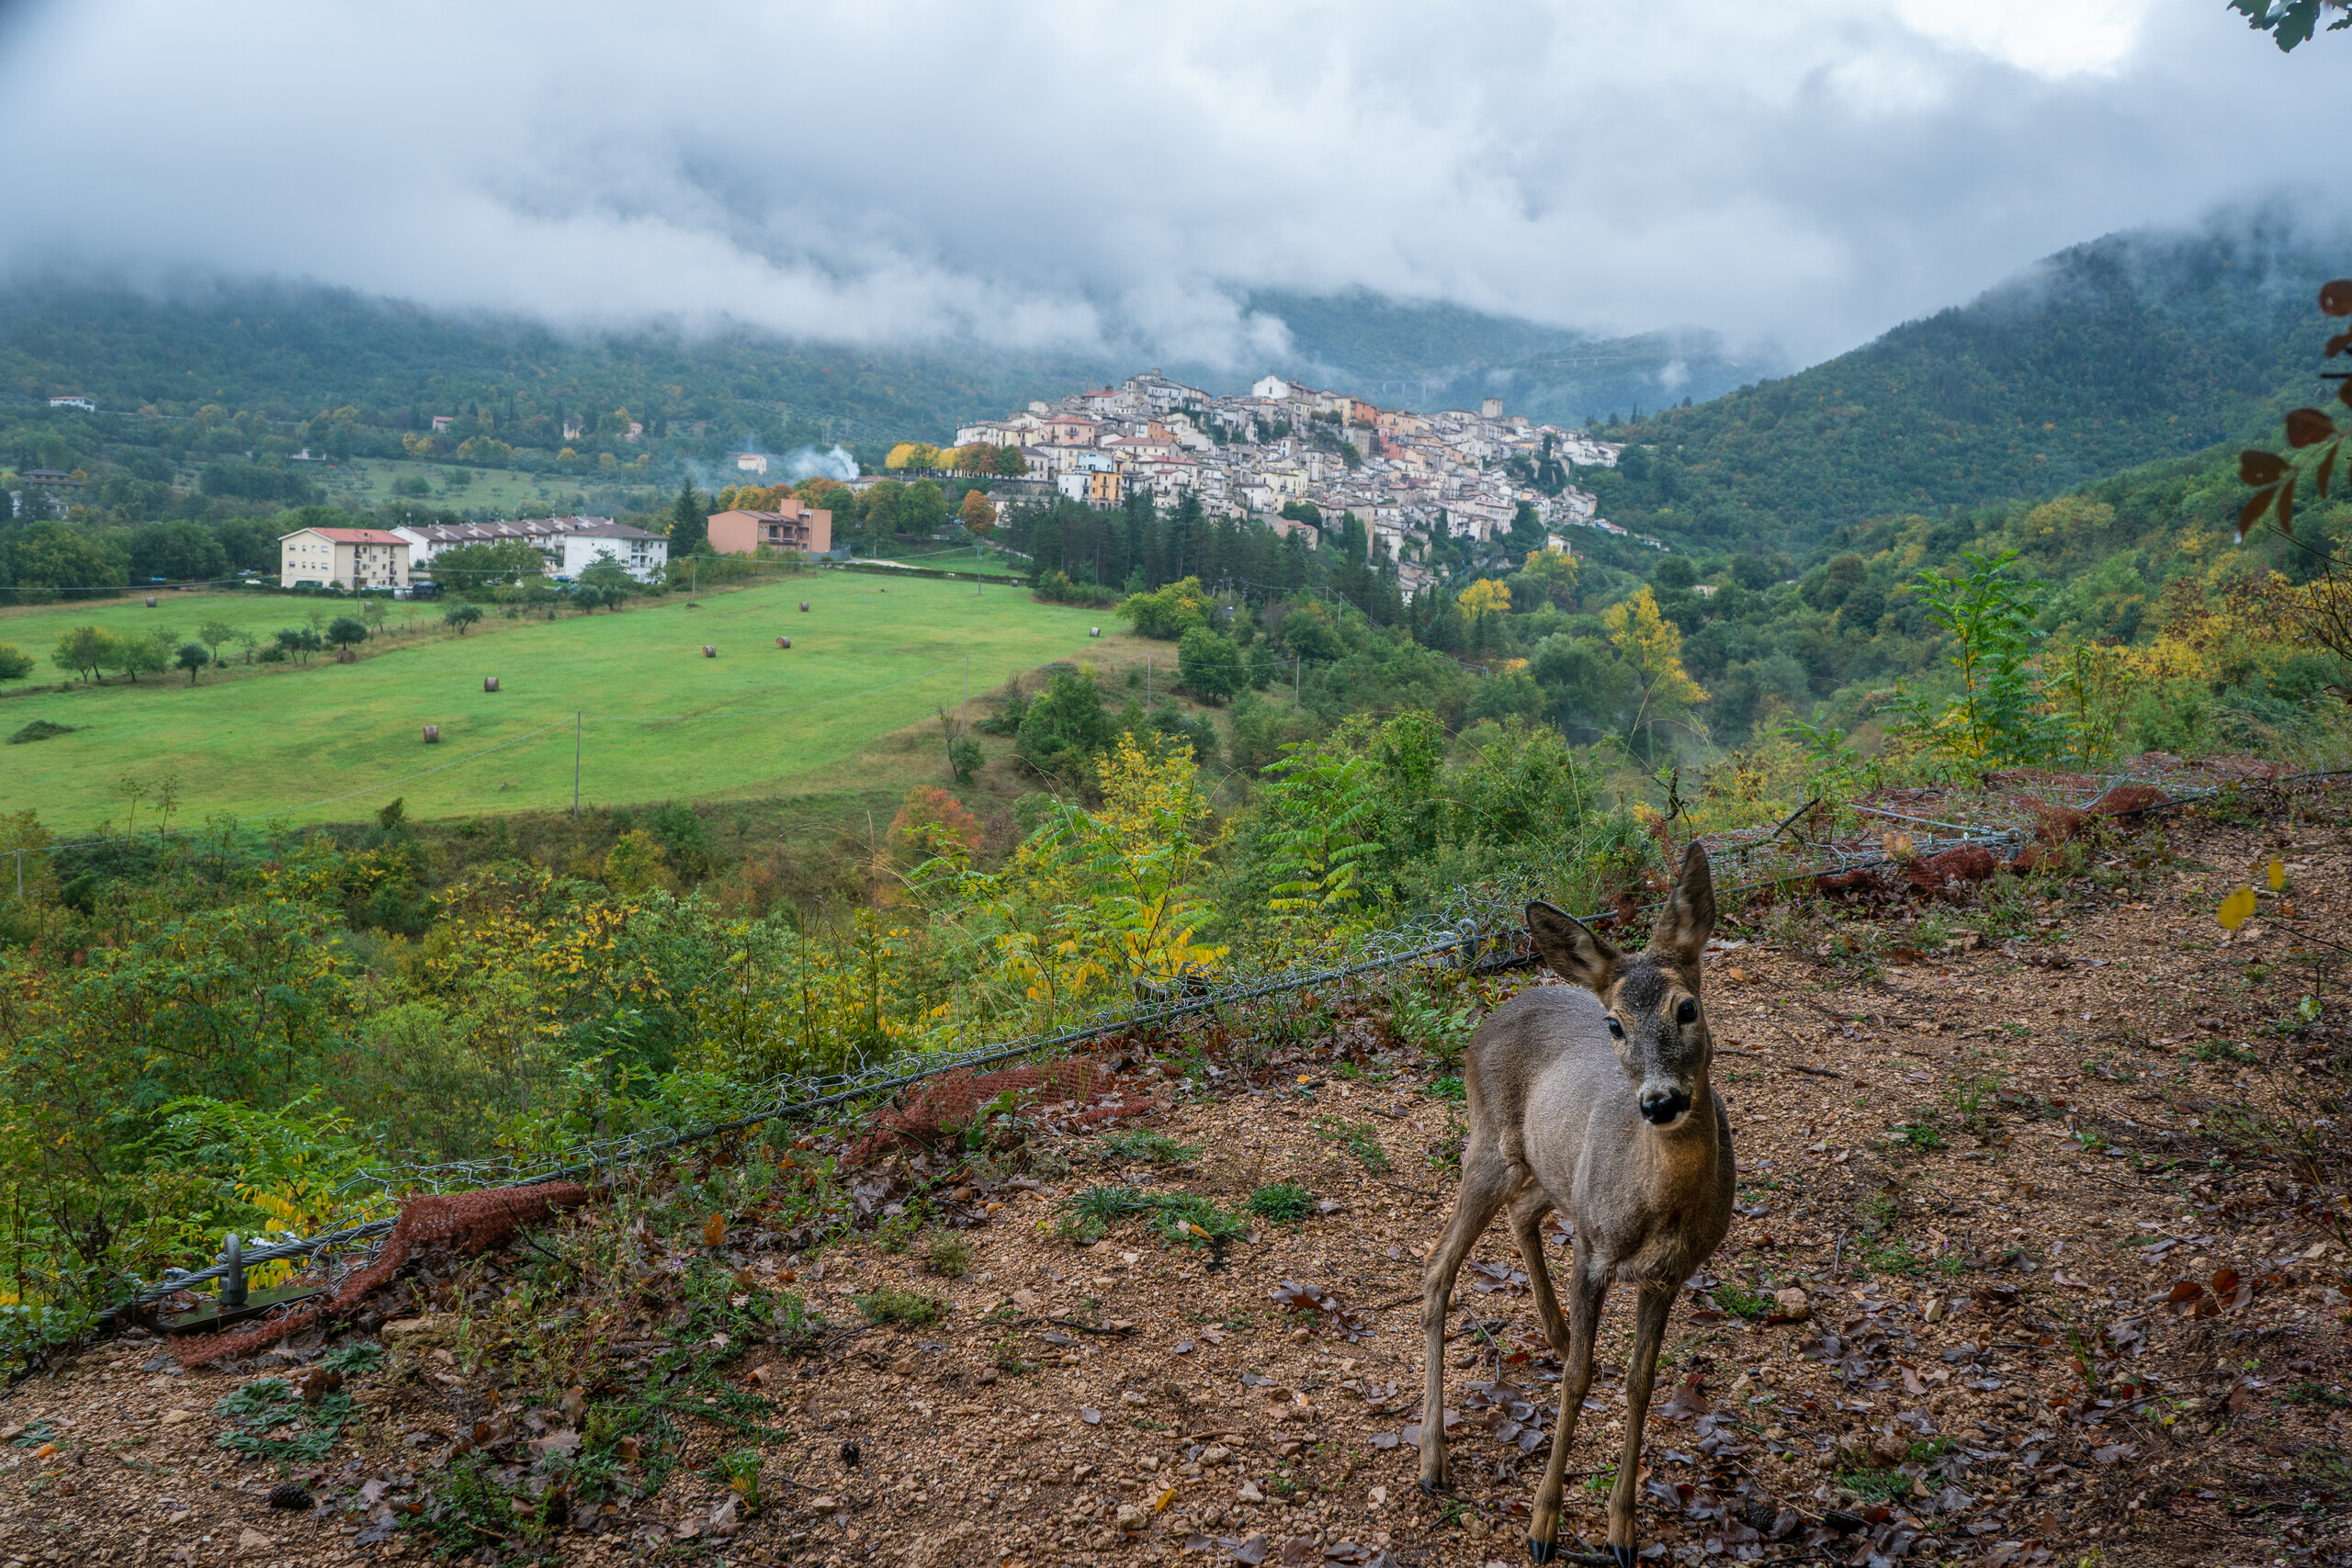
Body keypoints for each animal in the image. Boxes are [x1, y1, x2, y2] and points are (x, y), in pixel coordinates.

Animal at [1418, 842, 1734, 1567]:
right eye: (1614, 1023)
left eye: (1687, 1008)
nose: (1660, 1101)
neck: (1661, 1205)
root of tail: (1490, 1016)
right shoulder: (1593, 1251)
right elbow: (1580, 1380)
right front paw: (1543, 1524)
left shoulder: (1669, 1273)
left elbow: (1641, 1383)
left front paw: (1622, 1532)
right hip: (1488, 1145)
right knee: (1437, 1269)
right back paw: (1431, 1459)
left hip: (1552, 1167)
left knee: (1524, 1213)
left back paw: (1556, 1330)